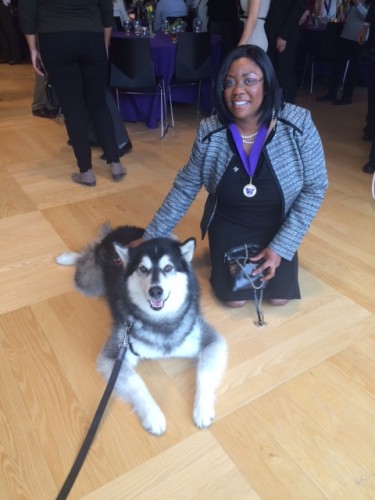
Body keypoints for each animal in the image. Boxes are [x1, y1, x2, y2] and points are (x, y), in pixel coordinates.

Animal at [57, 225, 228, 436]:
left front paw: (202, 410)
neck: (160, 321)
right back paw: (67, 257)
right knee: (86, 255)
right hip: (90, 281)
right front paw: (153, 416)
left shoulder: (210, 340)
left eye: (168, 268)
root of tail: (121, 231)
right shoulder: (115, 355)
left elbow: (203, 376)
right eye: (143, 269)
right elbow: (138, 385)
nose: (156, 291)